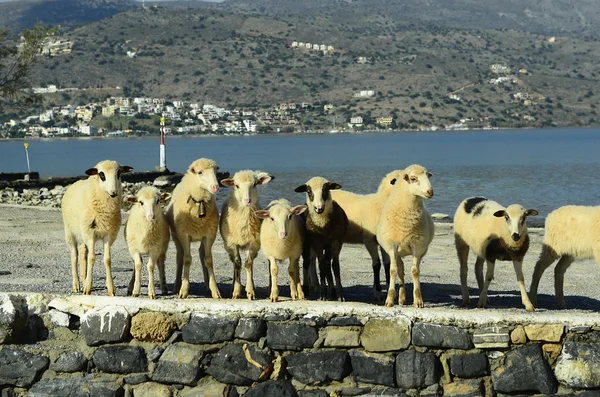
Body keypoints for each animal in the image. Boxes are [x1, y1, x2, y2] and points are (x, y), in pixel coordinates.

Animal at [61, 160, 133, 294]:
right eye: (101, 175)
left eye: (119, 173)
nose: (113, 193)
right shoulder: (90, 233)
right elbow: (92, 258)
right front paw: (87, 288)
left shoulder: (109, 234)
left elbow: (107, 259)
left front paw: (111, 289)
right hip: (70, 232)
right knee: (74, 256)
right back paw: (76, 285)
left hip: (82, 232)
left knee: (82, 252)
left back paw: (83, 279)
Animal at [166, 157, 223, 296]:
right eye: (200, 172)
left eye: (215, 171)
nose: (216, 187)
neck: (200, 202)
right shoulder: (184, 234)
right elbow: (187, 260)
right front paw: (184, 290)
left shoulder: (210, 234)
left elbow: (208, 260)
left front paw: (214, 290)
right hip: (176, 236)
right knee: (180, 257)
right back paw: (177, 285)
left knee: (201, 254)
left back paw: (207, 284)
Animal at [220, 169, 274, 298]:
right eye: (236, 185)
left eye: (254, 184)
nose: (247, 201)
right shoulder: (232, 244)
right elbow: (237, 264)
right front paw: (236, 291)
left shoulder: (252, 243)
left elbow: (248, 264)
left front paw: (250, 291)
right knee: (235, 263)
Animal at [332, 169, 404, 302]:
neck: (381, 203)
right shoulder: (369, 240)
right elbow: (376, 265)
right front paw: (378, 292)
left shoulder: (384, 242)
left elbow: (387, 265)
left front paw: (391, 291)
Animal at [378, 163, 434, 306]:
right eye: (413, 179)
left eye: (428, 176)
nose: (430, 192)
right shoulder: (391, 246)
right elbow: (393, 271)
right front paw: (389, 299)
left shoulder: (417, 246)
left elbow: (415, 271)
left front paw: (418, 300)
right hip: (398, 252)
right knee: (400, 270)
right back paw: (401, 298)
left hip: (420, 250)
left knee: (409, 268)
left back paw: (403, 298)